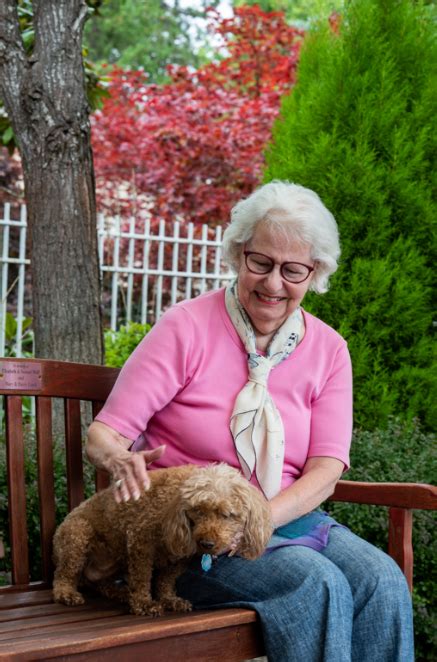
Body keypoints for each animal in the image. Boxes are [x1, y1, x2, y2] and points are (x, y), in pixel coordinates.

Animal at [52, 466, 270, 616]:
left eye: (227, 515)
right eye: (198, 511)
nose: (206, 544)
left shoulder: (180, 557)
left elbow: (166, 580)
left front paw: (169, 599)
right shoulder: (140, 541)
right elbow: (142, 578)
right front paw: (144, 604)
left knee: (101, 584)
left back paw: (120, 592)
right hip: (77, 535)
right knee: (64, 575)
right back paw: (66, 593)